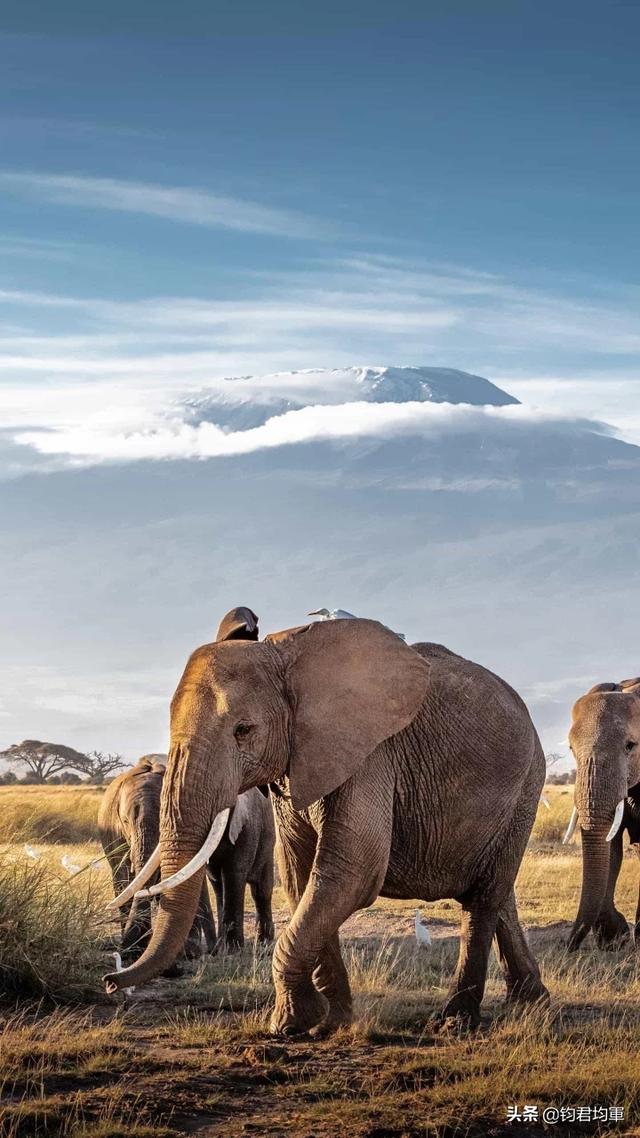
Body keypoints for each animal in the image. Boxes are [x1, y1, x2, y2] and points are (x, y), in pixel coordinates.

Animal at [101, 623, 546, 1033]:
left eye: (243, 730)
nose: (109, 981)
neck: (285, 655)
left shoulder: (370, 756)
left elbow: (351, 872)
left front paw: (290, 1024)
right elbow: (302, 874)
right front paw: (331, 1021)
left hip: (527, 783)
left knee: (483, 898)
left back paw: (456, 1022)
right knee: (497, 892)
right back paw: (530, 999)